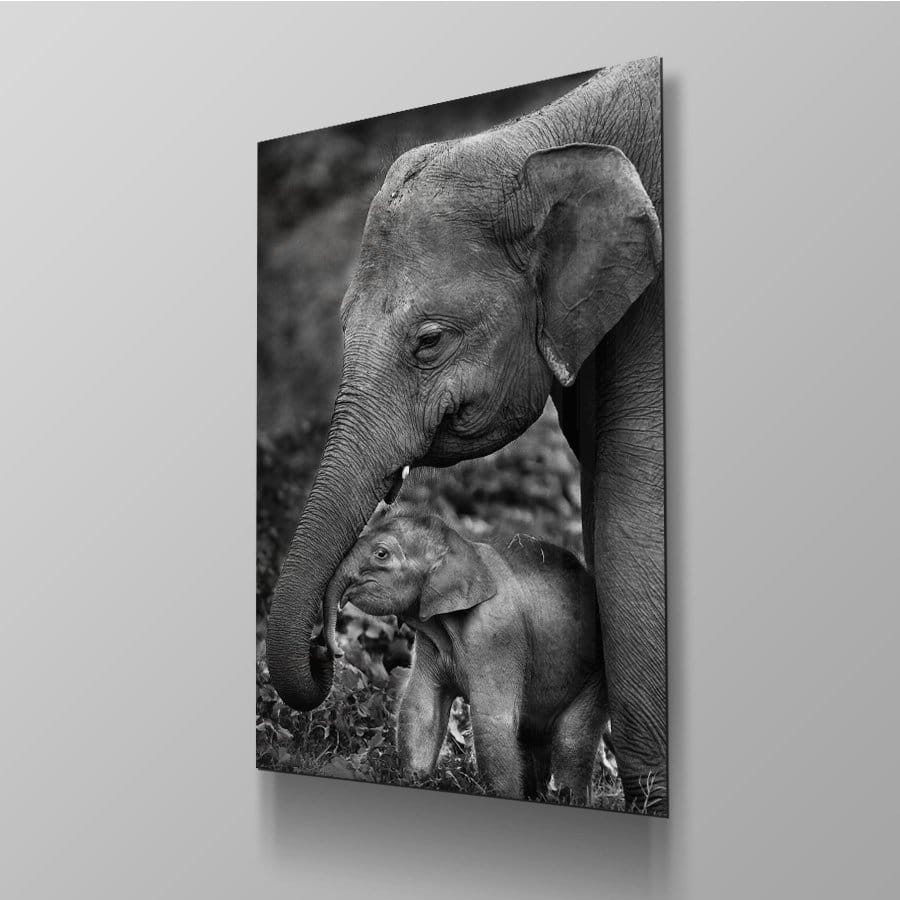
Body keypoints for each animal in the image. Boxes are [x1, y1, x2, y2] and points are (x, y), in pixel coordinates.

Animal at [322, 508, 611, 804]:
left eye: (381, 553)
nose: (338, 651)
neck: (464, 548)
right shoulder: (430, 640)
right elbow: (420, 706)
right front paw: (414, 780)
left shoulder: (496, 635)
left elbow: (491, 722)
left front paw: (505, 796)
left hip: (596, 676)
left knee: (572, 740)